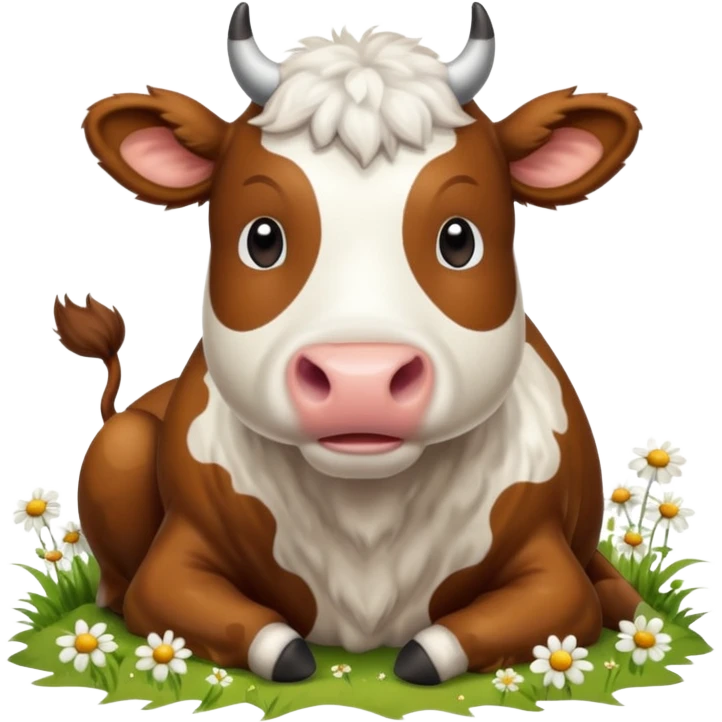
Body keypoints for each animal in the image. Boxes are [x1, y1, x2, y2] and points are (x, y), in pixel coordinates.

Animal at [53, 1, 644, 686]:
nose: (360, 378)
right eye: (262, 238)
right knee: (117, 587)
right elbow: (202, 613)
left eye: (459, 238)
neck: (367, 519)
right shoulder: (170, 569)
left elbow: (541, 611)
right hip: (123, 443)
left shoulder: (553, 569)